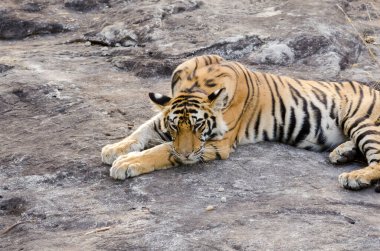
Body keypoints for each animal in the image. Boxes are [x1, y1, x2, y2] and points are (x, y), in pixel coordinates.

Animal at [101, 54, 380, 189]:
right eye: (174, 127)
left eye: (199, 126)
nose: (188, 154)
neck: (196, 84)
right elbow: (144, 128)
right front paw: (114, 149)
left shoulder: (217, 143)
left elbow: (163, 150)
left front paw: (125, 163)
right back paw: (342, 153)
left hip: (362, 121)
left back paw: (354, 177)